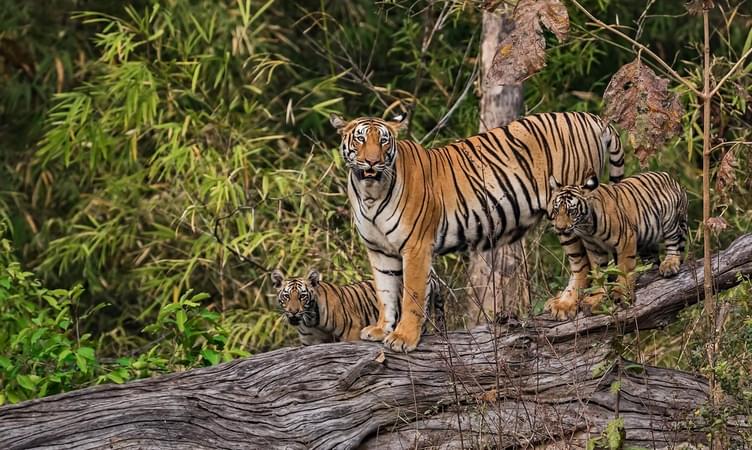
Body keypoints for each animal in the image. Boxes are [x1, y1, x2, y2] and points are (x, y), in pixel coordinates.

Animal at [272, 268, 444, 346]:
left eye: (302, 296)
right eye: (287, 296)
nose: (293, 312)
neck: (310, 322)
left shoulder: (352, 333)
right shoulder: (310, 343)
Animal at [332, 110, 624, 350]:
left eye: (383, 141)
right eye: (360, 140)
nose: (372, 162)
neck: (371, 193)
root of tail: (591, 118)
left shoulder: (415, 247)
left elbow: (411, 295)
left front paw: (404, 338)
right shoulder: (379, 250)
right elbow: (385, 293)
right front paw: (382, 329)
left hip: (568, 214)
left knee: (585, 262)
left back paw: (572, 304)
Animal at [548, 171, 688, 318]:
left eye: (571, 212)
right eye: (556, 210)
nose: (560, 228)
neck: (587, 228)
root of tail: (671, 178)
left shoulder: (626, 240)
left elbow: (624, 268)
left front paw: (622, 294)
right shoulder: (594, 249)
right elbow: (599, 273)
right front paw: (596, 298)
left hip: (670, 220)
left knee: (674, 243)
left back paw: (670, 264)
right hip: (647, 240)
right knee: (652, 259)